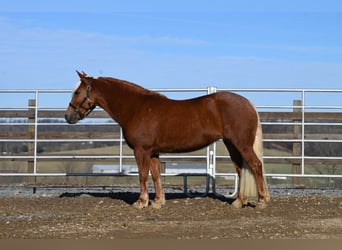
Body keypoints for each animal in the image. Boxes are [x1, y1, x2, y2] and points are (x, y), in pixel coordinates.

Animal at [65, 71, 270, 208]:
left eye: (77, 92)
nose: (68, 117)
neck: (136, 108)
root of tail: (248, 103)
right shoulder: (153, 152)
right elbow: (156, 175)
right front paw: (158, 202)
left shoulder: (141, 150)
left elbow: (142, 175)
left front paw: (141, 202)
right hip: (231, 144)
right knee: (241, 169)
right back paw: (239, 202)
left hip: (241, 144)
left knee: (255, 165)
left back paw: (262, 201)